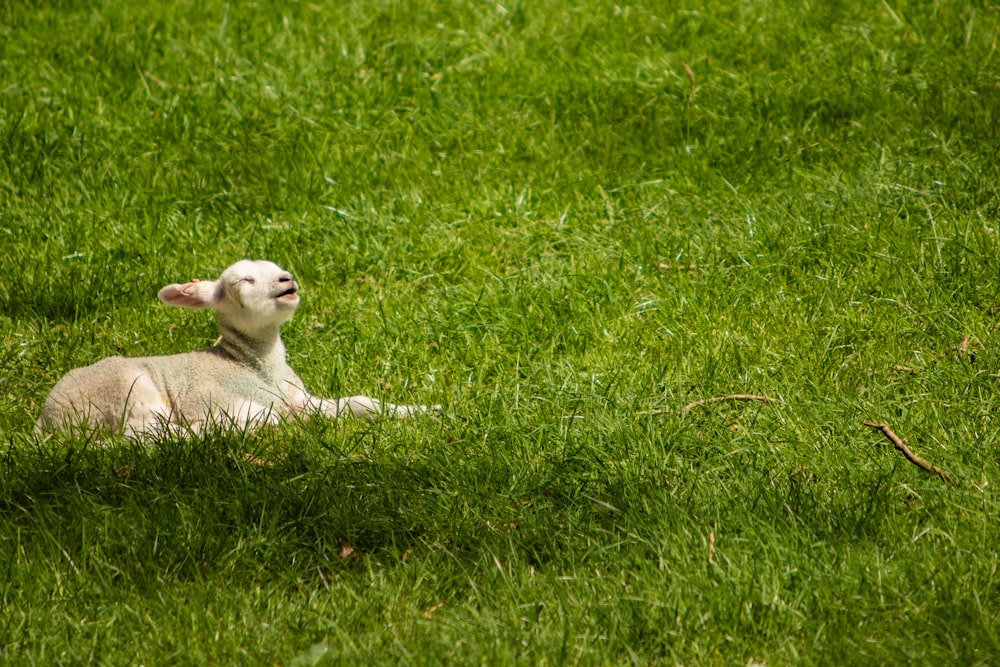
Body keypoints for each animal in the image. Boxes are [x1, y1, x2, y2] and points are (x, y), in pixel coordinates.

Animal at [36, 260, 434, 438]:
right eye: (242, 281)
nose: (287, 280)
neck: (251, 365)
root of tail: (46, 417)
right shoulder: (205, 395)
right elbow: (266, 414)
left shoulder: (300, 397)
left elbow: (361, 403)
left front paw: (426, 411)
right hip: (126, 394)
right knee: (149, 434)